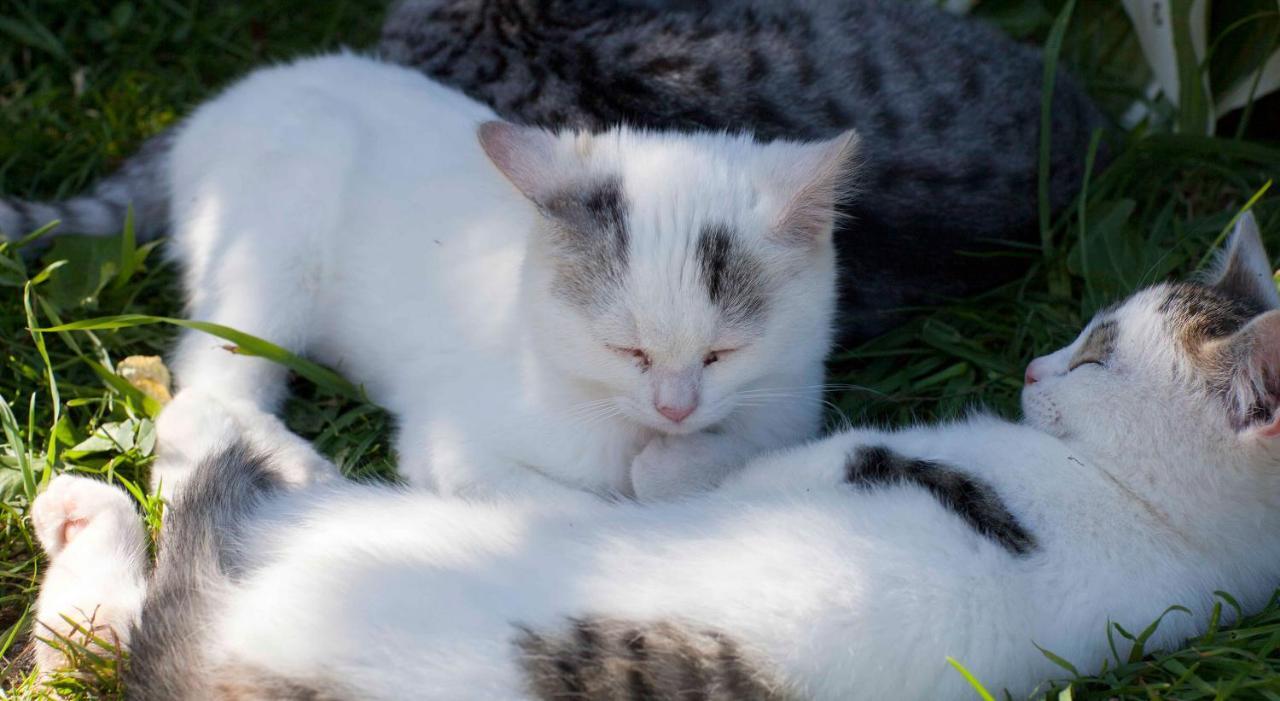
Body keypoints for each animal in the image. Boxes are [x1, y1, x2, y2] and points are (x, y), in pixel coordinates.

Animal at [27, 216, 1280, 695]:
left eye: (1098, 352)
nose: (1031, 364)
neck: (1159, 522)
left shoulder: (802, 468)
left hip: (352, 532)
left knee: (136, 609)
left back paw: (115, 501)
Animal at [85, 54, 849, 504]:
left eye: (723, 354)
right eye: (625, 350)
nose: (676, 409)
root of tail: (225, 102)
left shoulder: (790, 398)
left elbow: (738, 450)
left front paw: (673, 465)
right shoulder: (451, 443)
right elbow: (565, 507)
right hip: (267, 247)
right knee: (204, 384)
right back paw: (285, 467)